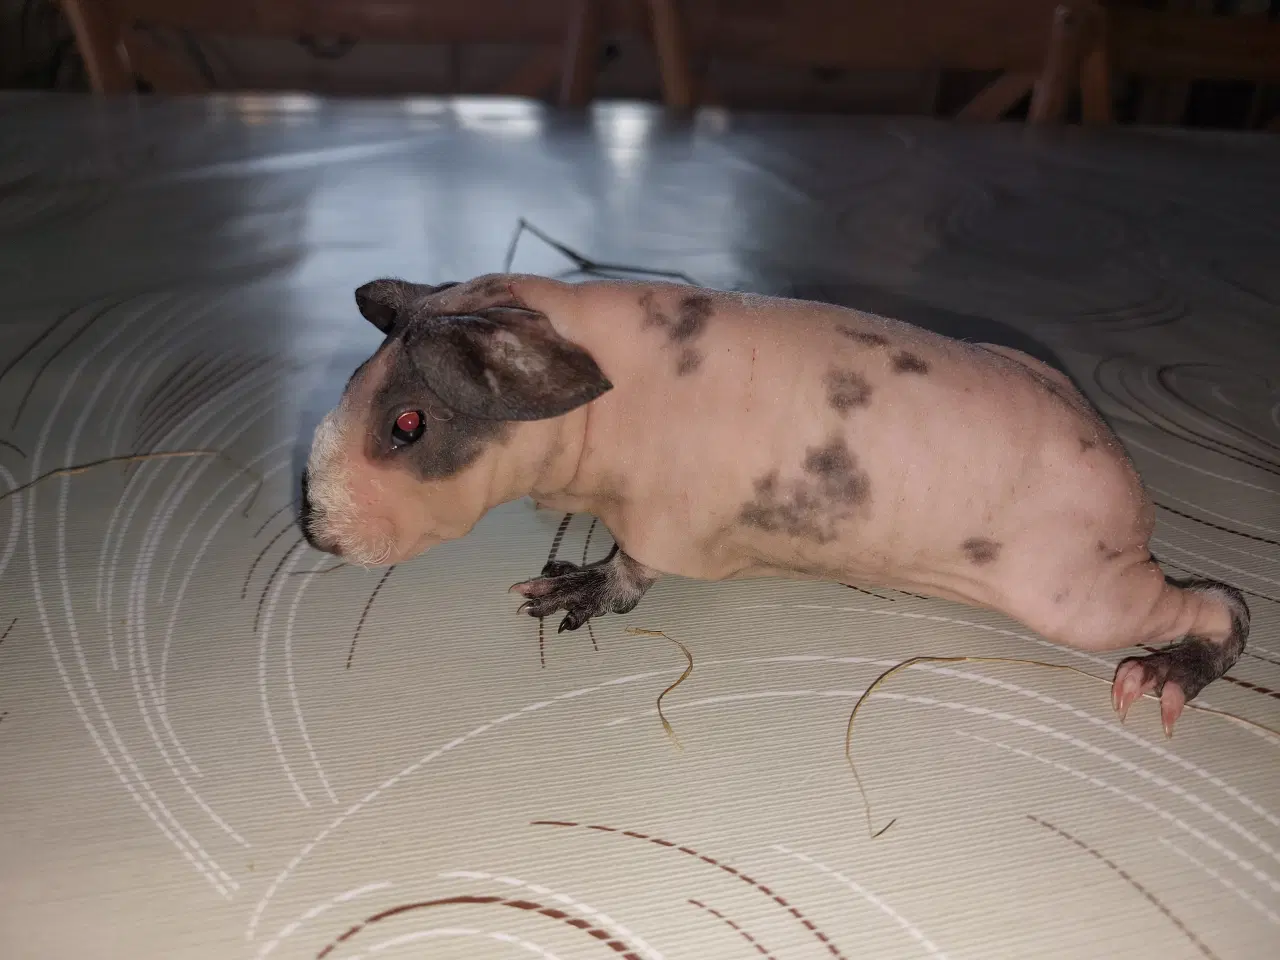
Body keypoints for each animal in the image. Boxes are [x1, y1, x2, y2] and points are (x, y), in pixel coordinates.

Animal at [299, 272, 1250, 736]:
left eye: (409, 424)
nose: (313, 528)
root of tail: (1132, 496)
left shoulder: (663, 522)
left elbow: (630, 575)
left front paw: (571, 589)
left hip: (1075, 596)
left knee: (1218, 606)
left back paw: (1163, 676)